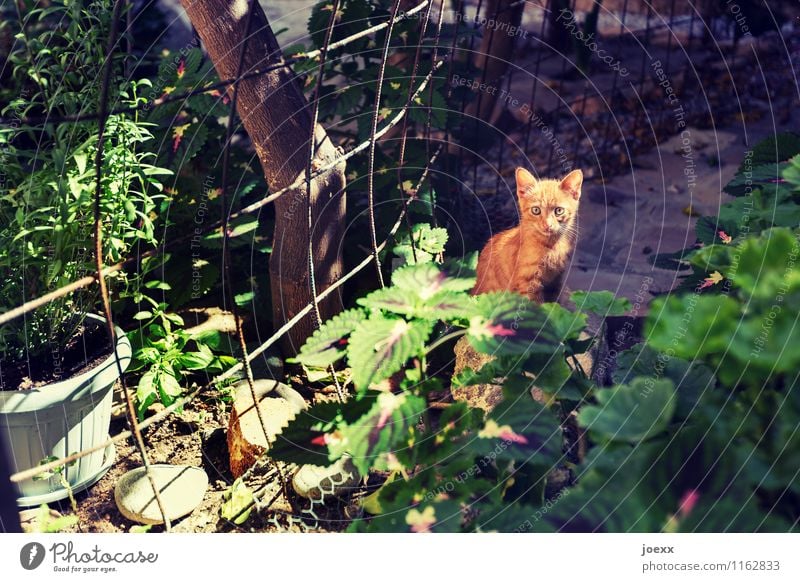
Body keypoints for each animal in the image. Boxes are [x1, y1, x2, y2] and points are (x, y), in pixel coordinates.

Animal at [476, 167, 580, 304]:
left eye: (559, 211)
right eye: (536, 210)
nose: (547, 225)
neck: (550, 246)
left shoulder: (556, 281)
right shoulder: (529, 284)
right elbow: (536, 307)